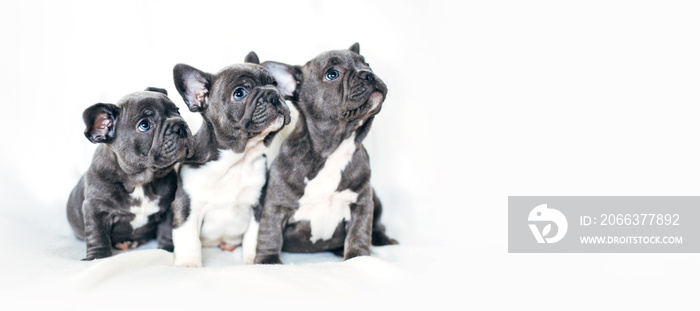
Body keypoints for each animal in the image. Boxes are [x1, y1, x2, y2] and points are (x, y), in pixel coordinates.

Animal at [66, 88, 194, 260]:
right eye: (145, 125)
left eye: (177, 111)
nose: (179, 125)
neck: (140, 182)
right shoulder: (95, 210)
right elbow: (97, 234)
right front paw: (98, 256)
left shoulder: (167, 207)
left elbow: (166, 229)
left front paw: (167, 248)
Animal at [171, 54, 292, 268]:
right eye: (240, 93)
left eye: (275, 84)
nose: (272, 94)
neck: (236, 160)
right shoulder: (186, 207)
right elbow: (188, 236)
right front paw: (188, 263)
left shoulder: (258, 206)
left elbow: (254, 236)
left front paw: (252, 259)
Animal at [256, 42, 400, 264]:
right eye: (332, 74)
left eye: (367, 64)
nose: (367, 74)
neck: (334, 149)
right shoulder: (276, 206)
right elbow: (270, 233)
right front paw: (268, 261)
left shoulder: (362, 204)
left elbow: (359, 233)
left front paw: (358, 257)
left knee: (377, 226)